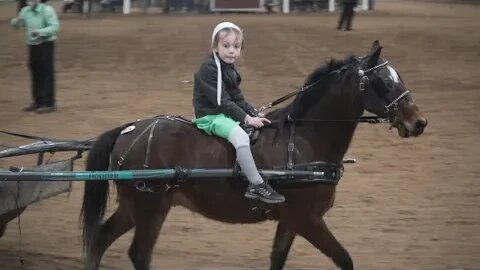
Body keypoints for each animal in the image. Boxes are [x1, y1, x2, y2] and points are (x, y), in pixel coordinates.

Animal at [81, 40, 428, 270]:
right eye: (383, 81)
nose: (419, 122)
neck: (301, 141)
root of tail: (129, 129)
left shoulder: (291, 221)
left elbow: (277, 259)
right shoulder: (307, 219)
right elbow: (344, 259)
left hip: (134, 207)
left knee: (100, 239)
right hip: (150, 208)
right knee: (139, 253)